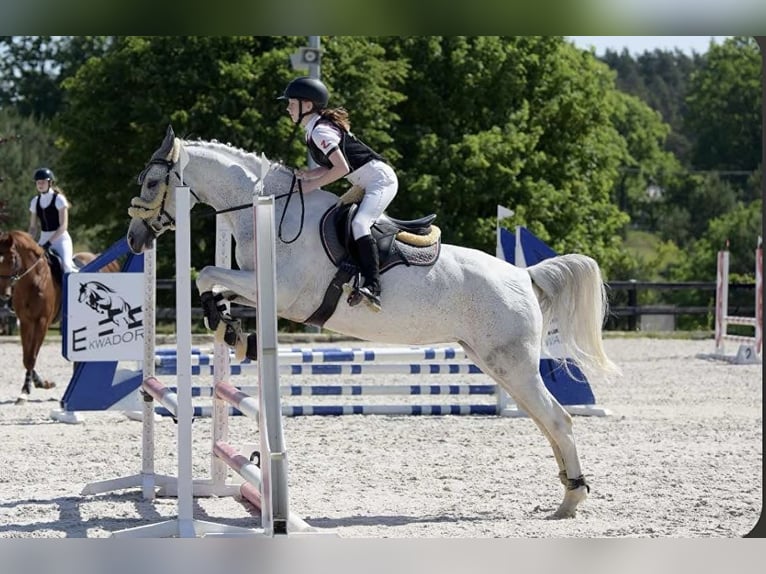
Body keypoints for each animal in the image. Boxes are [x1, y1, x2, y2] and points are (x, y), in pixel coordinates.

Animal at [0, 231, 120, 404]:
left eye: (12, 259)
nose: (4, 294)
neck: (33, 279)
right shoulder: (25, 321)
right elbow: (26, 357)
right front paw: (40, 384)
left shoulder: (42, 322)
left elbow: (31, 357)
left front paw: (26, 391)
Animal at [124, 126, 616, 520]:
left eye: (152, 182)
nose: (134, 239)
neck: (267, 209)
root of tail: (523, 274)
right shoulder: (260, 289)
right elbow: (215, 284)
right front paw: (230, 327)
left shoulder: (282, 293)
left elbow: (206, 274)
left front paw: (226, 325)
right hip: (494, 361)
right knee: (545, 421)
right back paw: (568, 491)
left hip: (510, 362)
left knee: (558, 420)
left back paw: (570, 500)